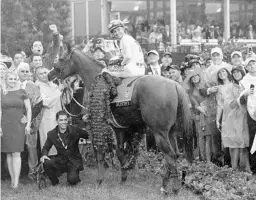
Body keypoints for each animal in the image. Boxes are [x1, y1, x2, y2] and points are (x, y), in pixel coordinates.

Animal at [48, 43, 193, 194]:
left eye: (61, 58)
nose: (49, 75)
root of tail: (175, 85)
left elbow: (100, 152)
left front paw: (100, 180)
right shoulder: (119, 128)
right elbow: (120, 152)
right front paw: (124, 176)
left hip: (159, 132)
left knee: (170, 156)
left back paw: (173, 188)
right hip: (171, 132)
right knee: (175, 154)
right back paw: (165, 185)